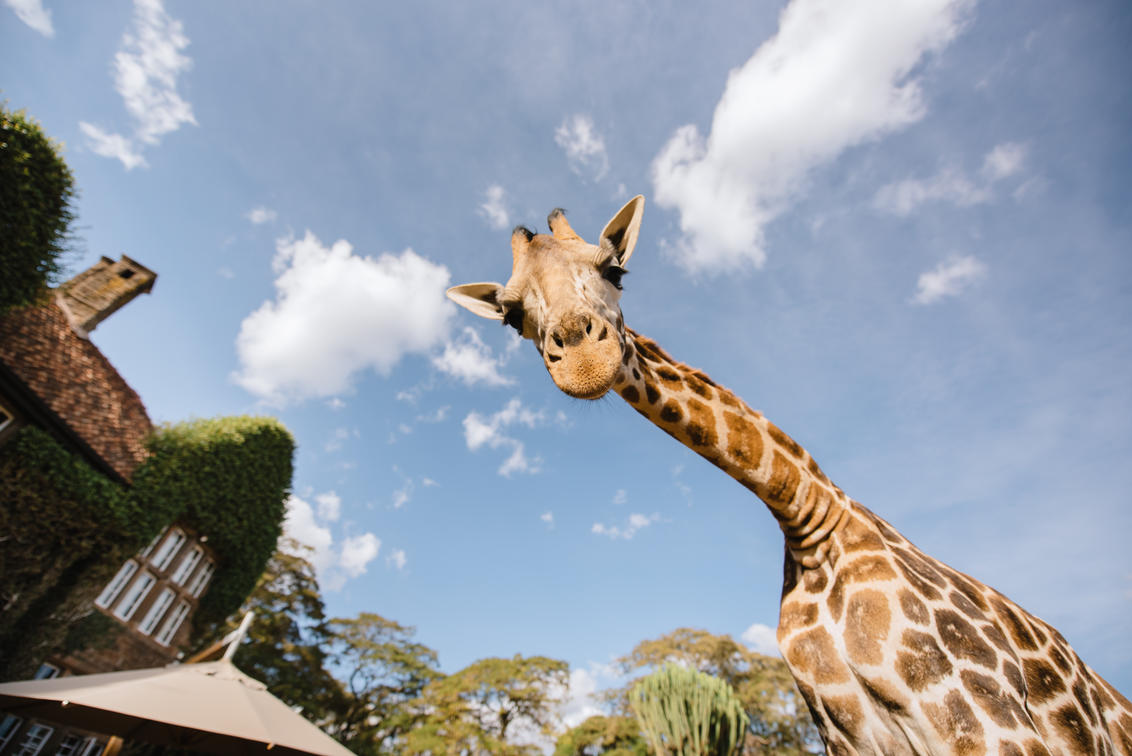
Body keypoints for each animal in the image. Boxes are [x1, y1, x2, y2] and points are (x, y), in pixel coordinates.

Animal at [447, 195, 1132, 755]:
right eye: (510, 316)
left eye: (615, 268)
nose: (583, 360)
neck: (807, 518)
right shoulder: (850, 736)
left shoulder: (983, 721)